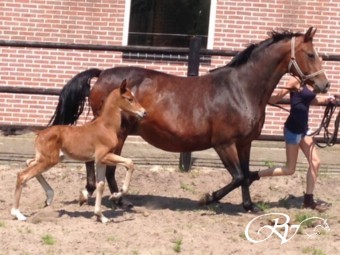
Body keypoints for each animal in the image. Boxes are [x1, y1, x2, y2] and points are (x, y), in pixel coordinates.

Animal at [10, 79, 146, 223]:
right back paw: (18, 213)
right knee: (23, 175)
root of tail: (40, 133)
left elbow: (101, 185)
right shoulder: (103, 156)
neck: (106, 127)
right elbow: (130, 163)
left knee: (29, 162)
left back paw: (49, 197)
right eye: (130, 99)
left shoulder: (100, 161)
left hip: (48, 158)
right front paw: (114, 196)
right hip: (49, 160)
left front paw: (101, 216)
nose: (143, 112)